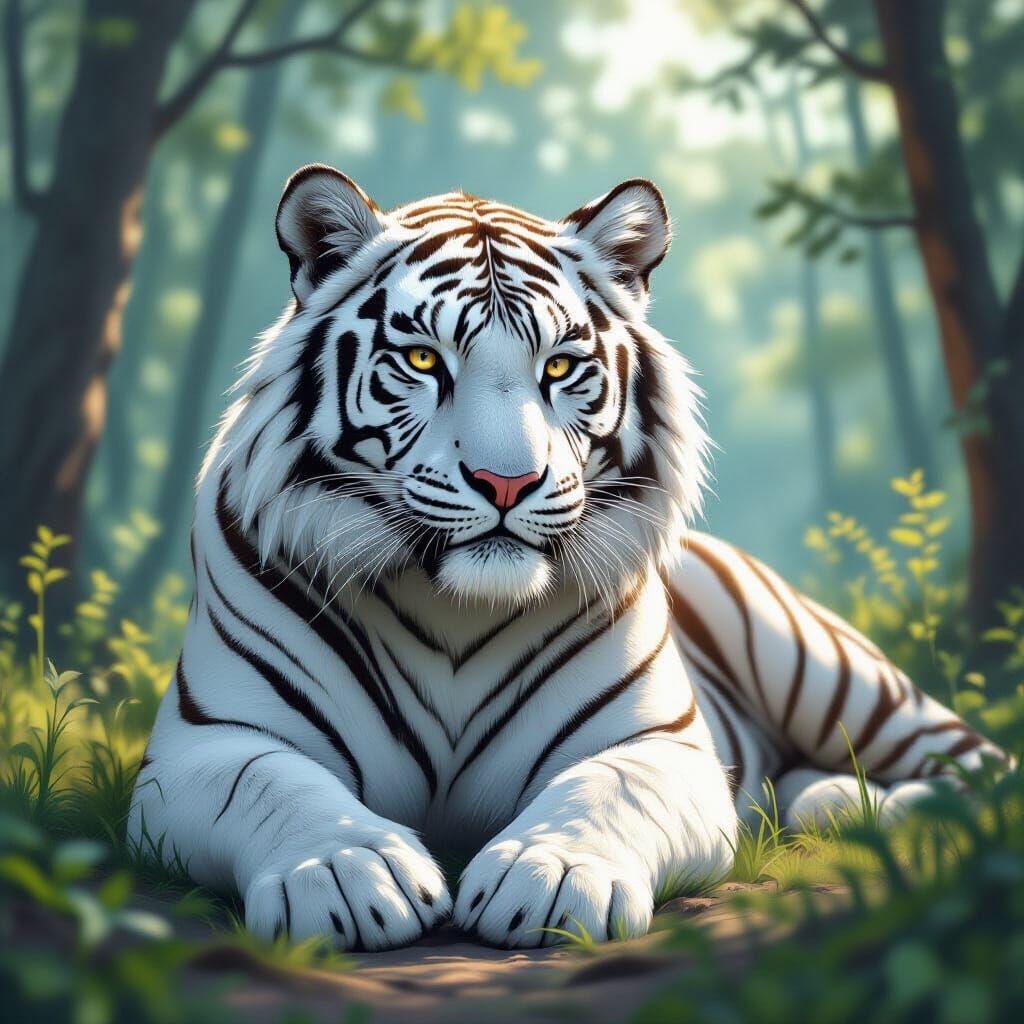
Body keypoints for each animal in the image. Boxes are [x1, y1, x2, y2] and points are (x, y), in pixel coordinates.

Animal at [129, 165, 1001, 952]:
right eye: (423, 362)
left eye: (558, 367)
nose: (506, 481)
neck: (455, 608)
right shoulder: (204, 745)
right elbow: (273, 784)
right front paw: (345, 870)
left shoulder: (662, 745)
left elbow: (604, 788)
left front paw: (549, 876)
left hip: (831, 673)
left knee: (981, 767)